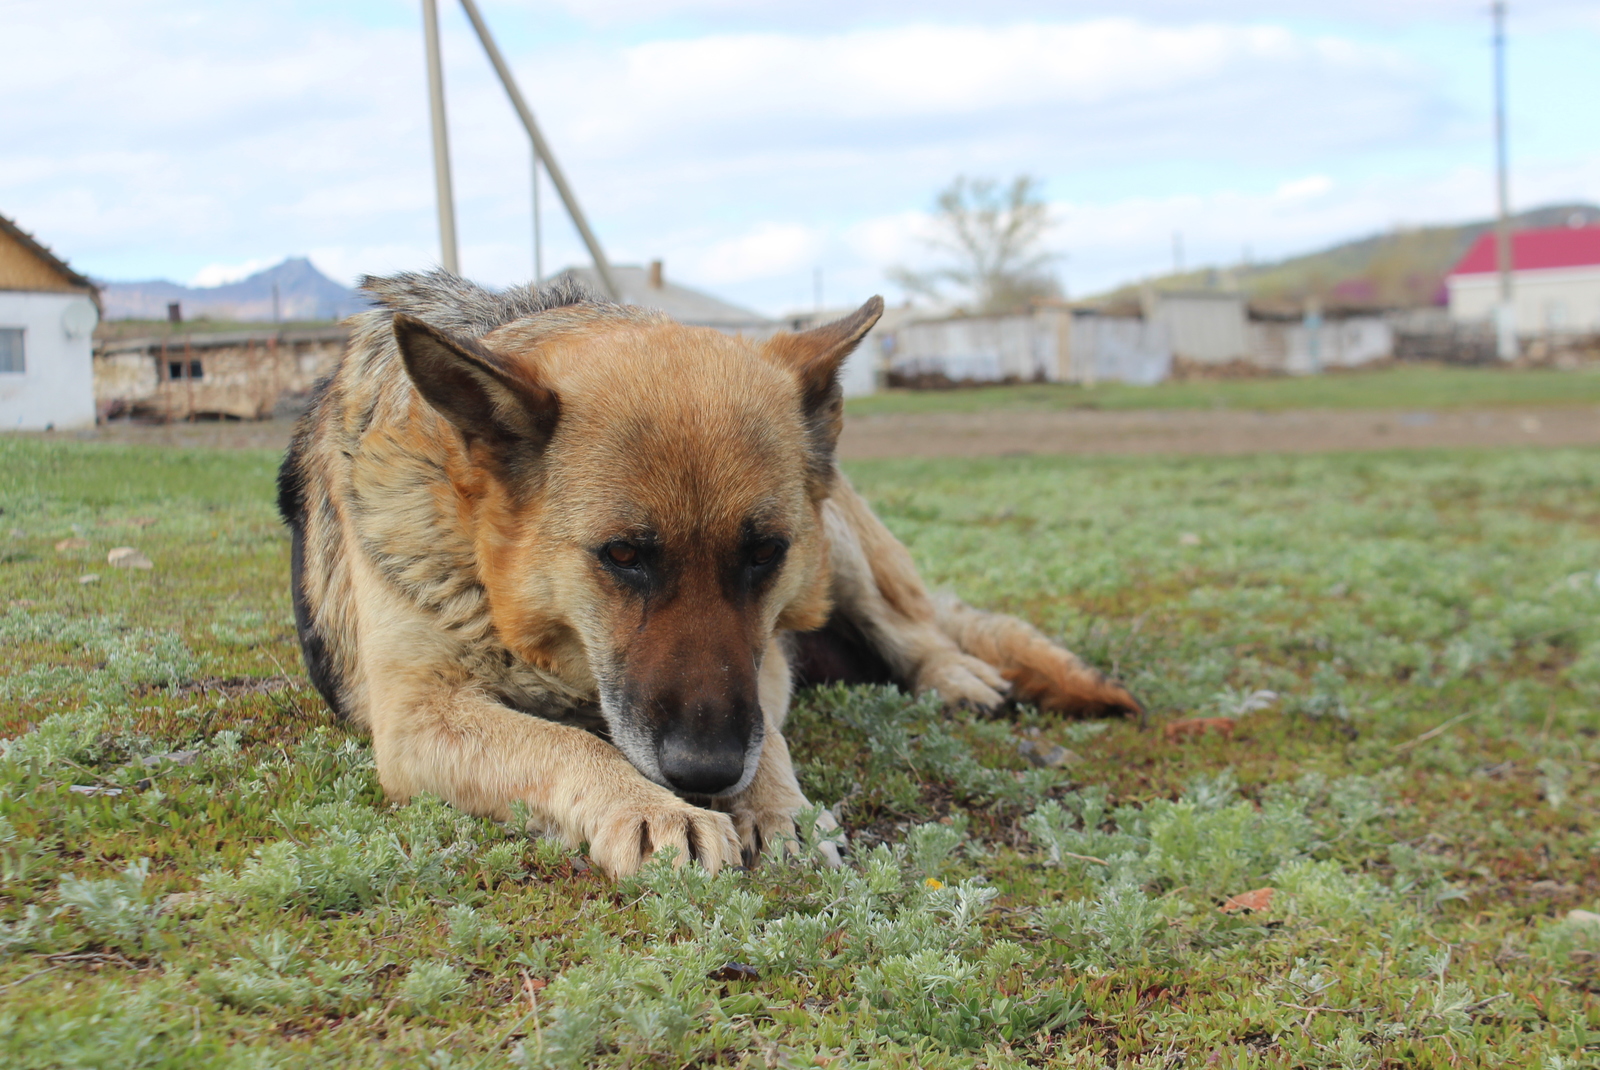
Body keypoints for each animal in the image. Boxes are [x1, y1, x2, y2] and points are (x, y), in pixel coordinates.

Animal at [284, 273, 1139, 876]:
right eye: (623, 555)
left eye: (763, 552)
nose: (706, 771)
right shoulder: (418, 719)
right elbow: (565, 745)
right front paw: (652, 807)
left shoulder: (767, 658)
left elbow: (771, 734)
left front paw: (778, 806)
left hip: (838, 543)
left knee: (920, 630)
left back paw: (955, 675)